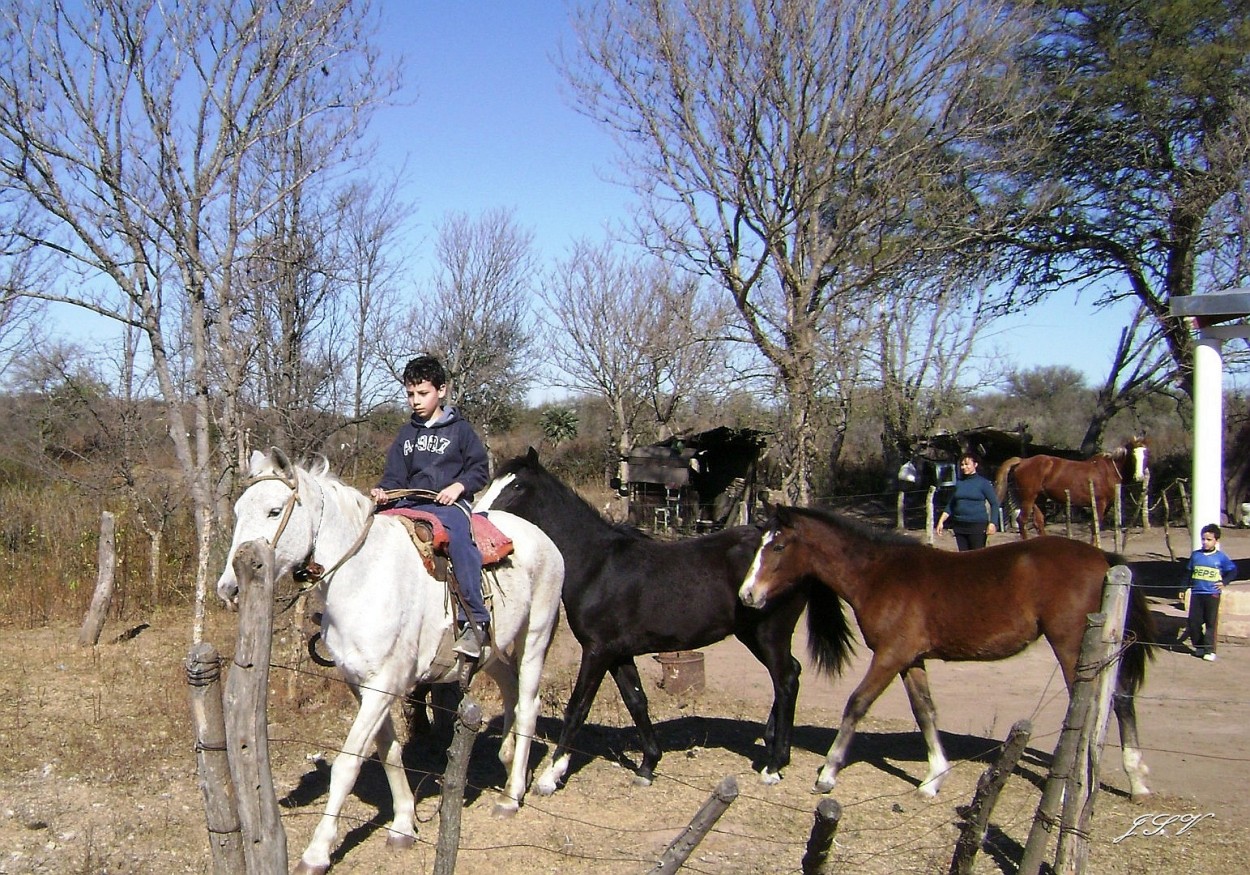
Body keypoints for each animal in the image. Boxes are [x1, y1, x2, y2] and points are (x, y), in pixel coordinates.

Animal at [216, 450, 567, 875]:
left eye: (273, 510)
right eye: (238, 511)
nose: (229, 588)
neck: (363, 576)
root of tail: (543, 538)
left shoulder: (383, 684)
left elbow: (347, 764)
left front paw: (317, 852)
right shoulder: (361, 685)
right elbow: (389, 752)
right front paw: (402, 825)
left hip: (536, 636)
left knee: (529, 704)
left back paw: (511, 795)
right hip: (493, 649)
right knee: (512, 691)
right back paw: (508, 757)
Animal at [472, 450, 855, 795]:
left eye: (516, 485)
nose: (477, 514)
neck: (598, 564)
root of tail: (803, 555)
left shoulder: (597, 651)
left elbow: (577, 707)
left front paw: (550, 777)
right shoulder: (618, 654)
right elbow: (636, 701)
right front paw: (647, 766)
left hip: (769, 634)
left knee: (787, 680)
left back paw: (774, 766)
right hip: (755, 635)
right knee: (789, 676)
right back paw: (771, 745)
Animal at [990, 435, 1145, 537]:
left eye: (1146, 454)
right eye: (1133, 455)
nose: (1139, 477)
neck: (1108, 470)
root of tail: (1023, 461)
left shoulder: (1106, 506)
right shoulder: (1100, 503)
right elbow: (1095, 527)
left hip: (1039, 499)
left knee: (1038, 522)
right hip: (1028, 498)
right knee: (1022, 521)